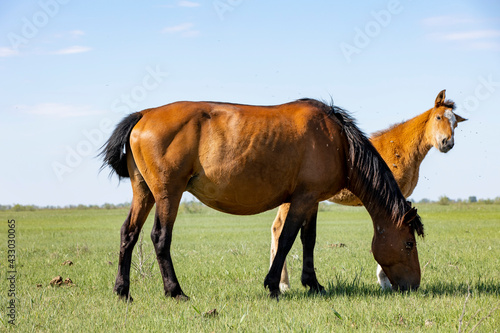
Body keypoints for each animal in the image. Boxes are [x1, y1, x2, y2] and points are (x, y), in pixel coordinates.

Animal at [99, 97, 424, 300]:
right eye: (409, 244)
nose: (414, 287)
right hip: (168, 194)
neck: (339, 142)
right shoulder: (302, 199)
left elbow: (308, 240)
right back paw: (175, 291)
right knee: (160, 237)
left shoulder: (313, 201)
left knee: (129, 234)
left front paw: (313, 284)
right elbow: (287, 238)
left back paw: (123, 291)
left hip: (144, 192)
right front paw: (273, 286)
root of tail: (145, 113)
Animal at [272, 90, 466, 290]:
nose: (447, 143)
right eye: (438, 117)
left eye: (455, 124)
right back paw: (283, 284)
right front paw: (384, 281)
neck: (399, 148)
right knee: (278, 230)